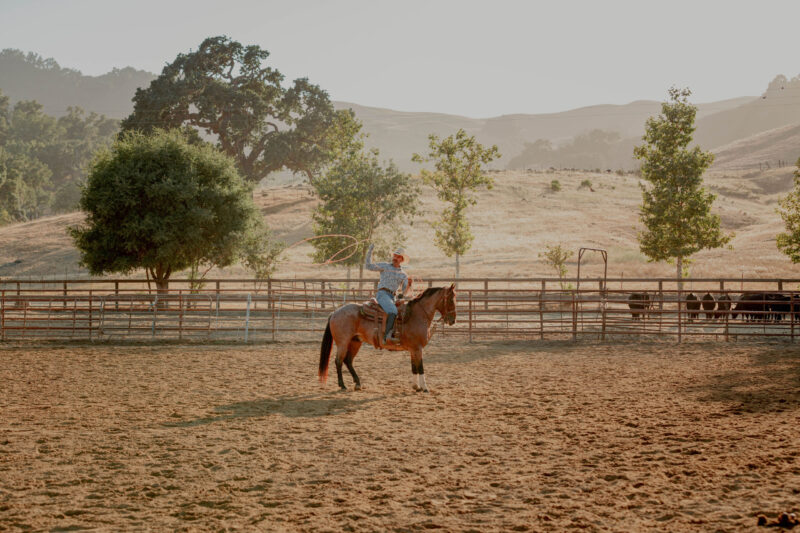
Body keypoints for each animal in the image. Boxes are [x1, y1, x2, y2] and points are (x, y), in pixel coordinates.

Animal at [318, 284, 456, 392]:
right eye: (450, 300)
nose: (453, 320)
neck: (417, 315)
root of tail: (335, 312)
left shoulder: (413, 349)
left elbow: (414, 367)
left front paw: (416, 386)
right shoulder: (418, 348)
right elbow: (420, 366)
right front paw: (425, 388)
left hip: (355, 342)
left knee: (348, 361)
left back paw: (357, 383)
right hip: (343, 342)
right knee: (338, 361)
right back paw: (342, 385)